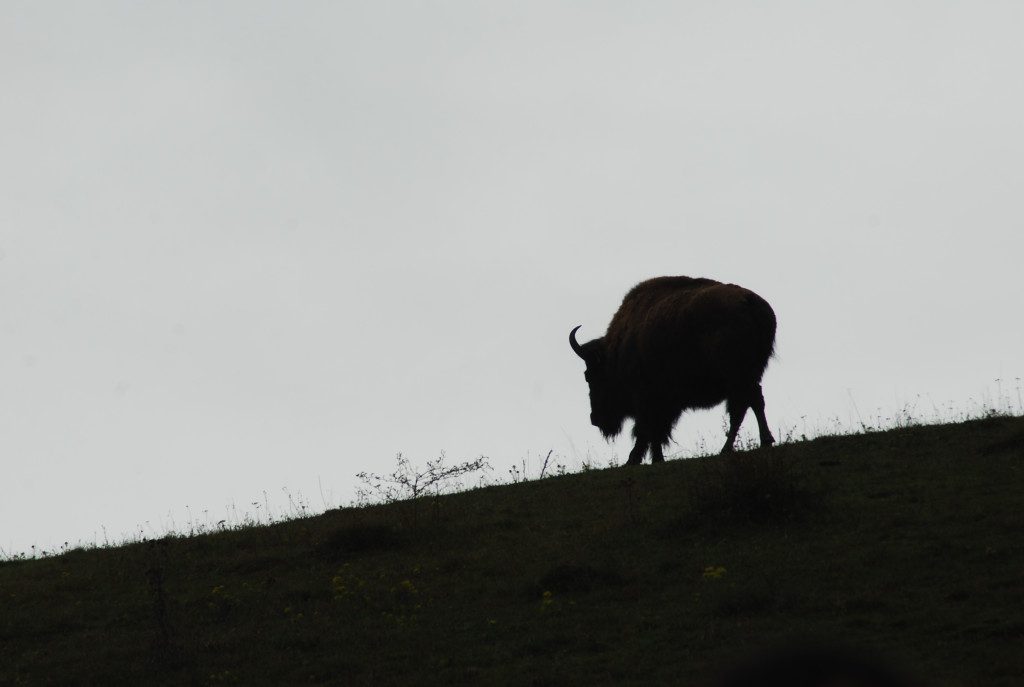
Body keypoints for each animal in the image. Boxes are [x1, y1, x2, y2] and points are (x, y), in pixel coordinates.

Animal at [569, 276, 774, 464]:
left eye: (590, 376)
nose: (594, 418)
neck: (617, 351)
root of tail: (749, 302)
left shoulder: (646, 398)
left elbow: (648, 430)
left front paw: (641, 459)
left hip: (736, 376)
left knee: (743, 406)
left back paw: (734, 448)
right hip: (749, 375)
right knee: (752, 403)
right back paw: (763, 441)